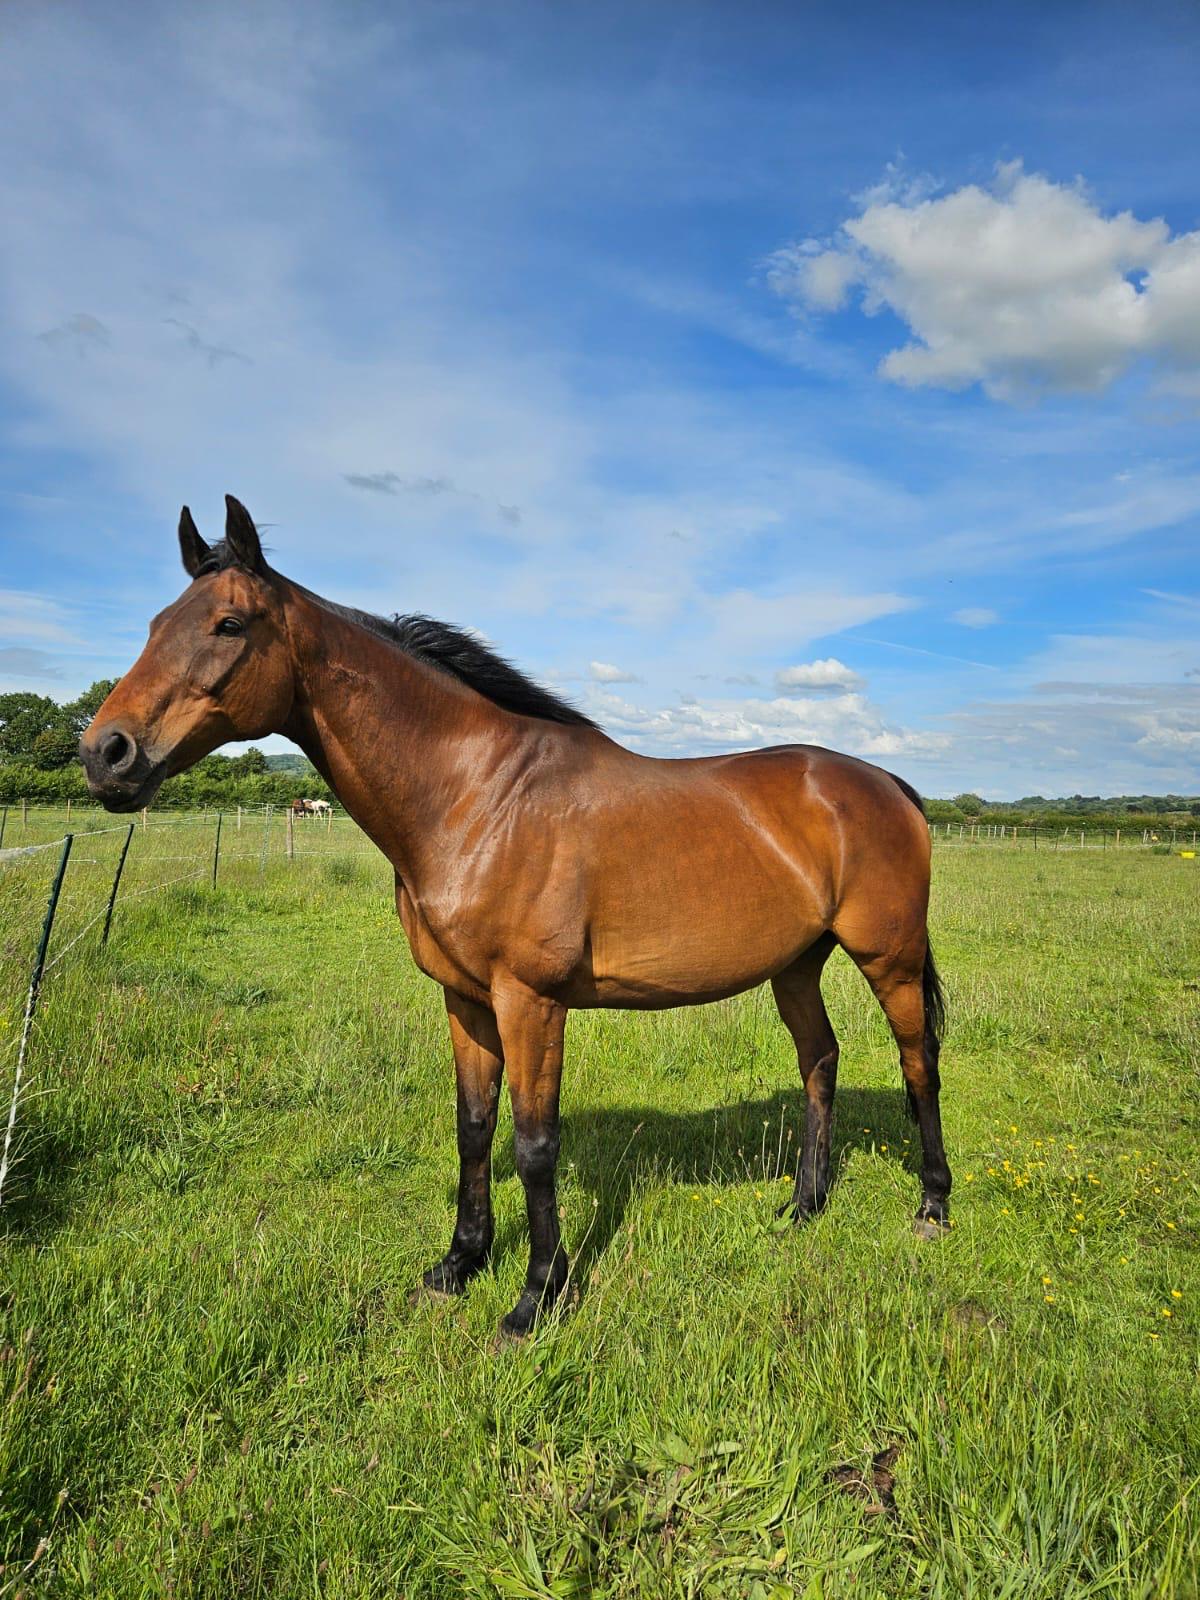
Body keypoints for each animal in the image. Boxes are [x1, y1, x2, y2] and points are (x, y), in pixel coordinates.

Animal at [80, 496, 951, 1337]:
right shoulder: (465, 999)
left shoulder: (531, 1003)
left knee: (919, 1065)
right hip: (797, 965)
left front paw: (537, 1297)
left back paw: (933, 1206)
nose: (104, 753)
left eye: (228, 624)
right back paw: (804, 1206)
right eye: (155, 623)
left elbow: (534, 1145)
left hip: (889, 959)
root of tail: (885, 784)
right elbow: (473, 1127)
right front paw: (459, 1263)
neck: (479, 798)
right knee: (820, 1061)